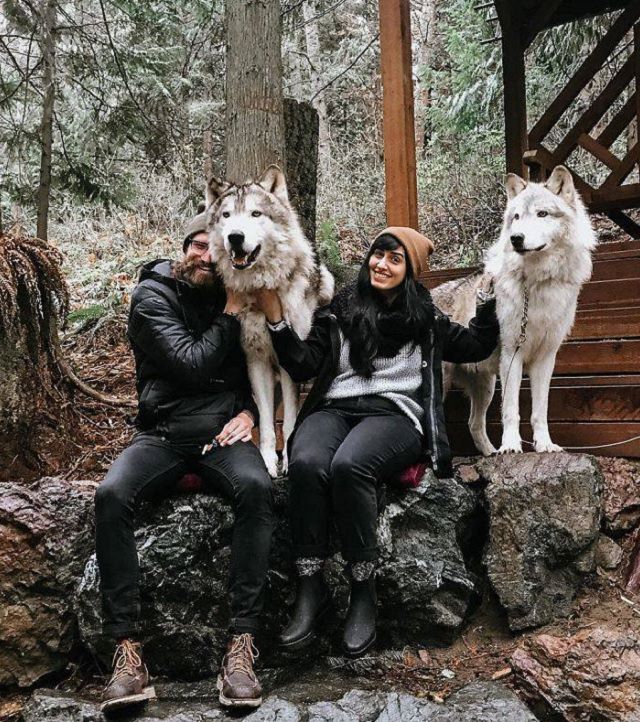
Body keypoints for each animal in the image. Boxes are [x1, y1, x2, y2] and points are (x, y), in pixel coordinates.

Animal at [205, 165, 336, 476]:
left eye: (255, 214)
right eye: (226, 215)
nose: (235, 237)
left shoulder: (291, 365)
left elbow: (288, 423)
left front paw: (287, 459)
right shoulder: (257, 361)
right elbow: (265, 422)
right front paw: (267, 461)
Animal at [432, 166, 596, 452]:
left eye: (542, 214)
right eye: (516, 217)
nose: (516, 238)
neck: (538, 284)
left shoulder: (546, 359)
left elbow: (540, 411)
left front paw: (545, 445)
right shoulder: (512, 355)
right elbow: (511, 410)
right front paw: (511, 447)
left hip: (486, 386)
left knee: (474, 424)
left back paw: (490, 454)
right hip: (446, 383)